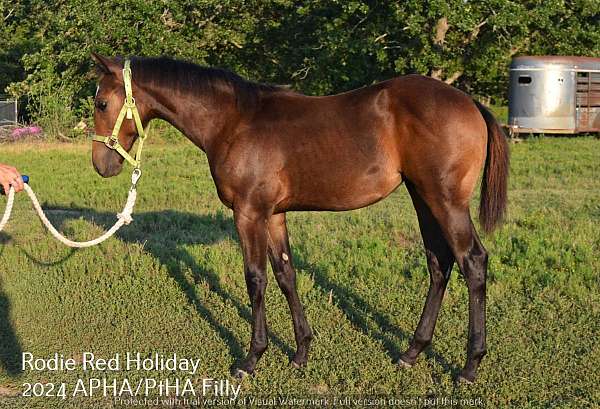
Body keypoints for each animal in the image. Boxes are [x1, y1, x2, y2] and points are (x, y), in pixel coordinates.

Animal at [91, 53, 508, 382]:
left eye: (102, 103)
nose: (101, 165)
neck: (233, 122)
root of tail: (470, 102)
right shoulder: (274, 215)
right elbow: (285, 274)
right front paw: (301, 352)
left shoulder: (248, 214)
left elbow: (256, 279)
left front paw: (251, 359)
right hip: (423, 198)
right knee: (439, 263)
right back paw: (411, 352)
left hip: (446, 202)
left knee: (472, 261)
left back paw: (469, 366)